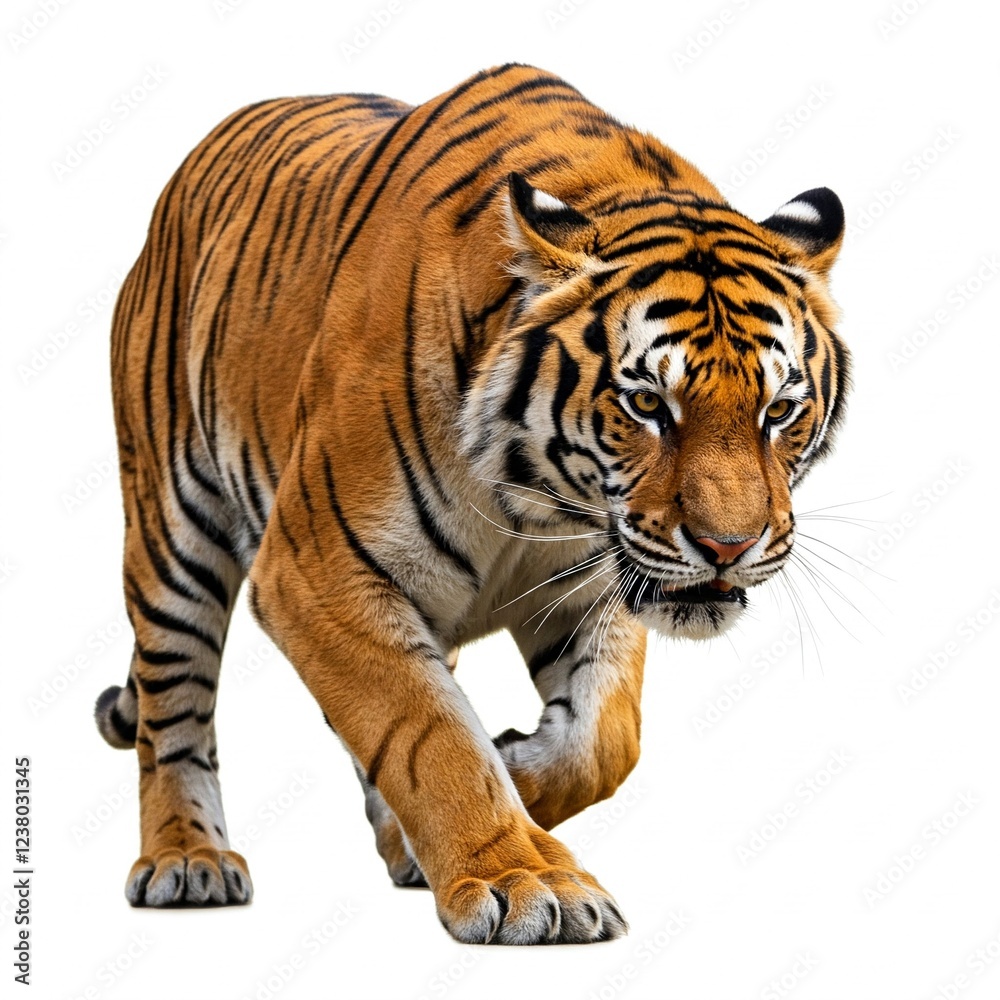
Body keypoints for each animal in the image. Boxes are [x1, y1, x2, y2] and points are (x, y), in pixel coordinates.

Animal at [94, 63, 849, 945]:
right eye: (647, 405)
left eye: (779, 411)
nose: (729, 548)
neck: (542, 498)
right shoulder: (315, 572)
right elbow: (431, 733)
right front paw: (524, 880)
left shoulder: (594, 583)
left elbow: (603, 739)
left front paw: (515, 766)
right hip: (171, 529)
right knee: (173, 710)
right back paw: (188, 860)